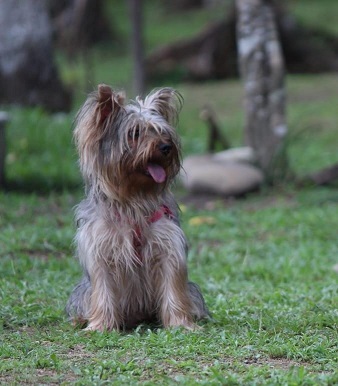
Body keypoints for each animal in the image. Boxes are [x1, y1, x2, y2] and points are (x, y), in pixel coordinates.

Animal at [65, 84, 209, 332]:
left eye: (163, 132)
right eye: (134, 133)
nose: (166, 147)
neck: (133, 199)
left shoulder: (167, 247)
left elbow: (173, 287)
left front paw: (180, 324)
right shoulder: (101, 249)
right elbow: (103, 290)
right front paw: (100, 326)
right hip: (82, 292)